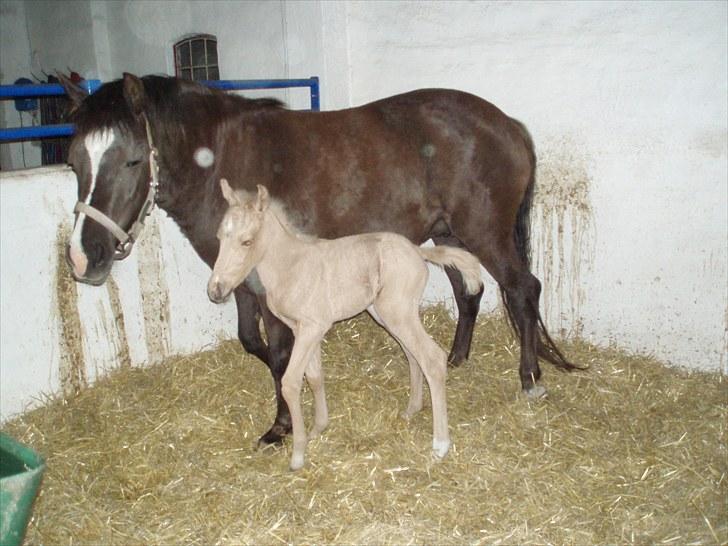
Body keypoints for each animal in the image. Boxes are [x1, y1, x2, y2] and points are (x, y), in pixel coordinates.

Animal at [209, 180, 484, 468]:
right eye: (220, 238)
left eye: (246, 241)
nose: (215, 291)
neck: (291, 266)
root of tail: (417, 250)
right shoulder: (304, 328)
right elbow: (315, 376)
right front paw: (319, 428)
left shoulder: (311, 328)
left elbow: (291, 382)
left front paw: (298, 454)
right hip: (387, 314)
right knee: (412, 355)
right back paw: (412, 410)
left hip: (397, 312)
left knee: (431, 359)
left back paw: (440, 445)